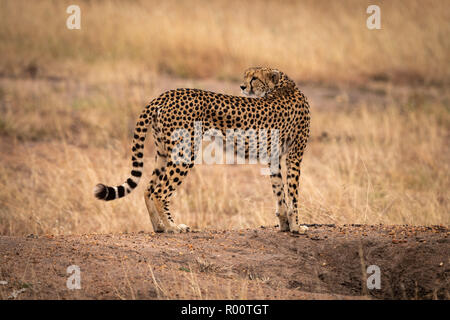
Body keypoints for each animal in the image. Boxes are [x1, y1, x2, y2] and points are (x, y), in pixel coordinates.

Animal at [94, 67, 312, 232]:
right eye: (246, 76)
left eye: (254, 78)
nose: (242, 86)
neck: (282, 85)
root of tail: (165, 94)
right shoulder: (294, 156)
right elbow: (293, 193)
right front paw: (297, 227)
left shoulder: (274, 157)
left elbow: (280, 191)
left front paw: (284, 225)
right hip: (185, 153)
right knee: (160, 192)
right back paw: (173, 227)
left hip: (163, 152)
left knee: (149, 189)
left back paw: (159, 227)